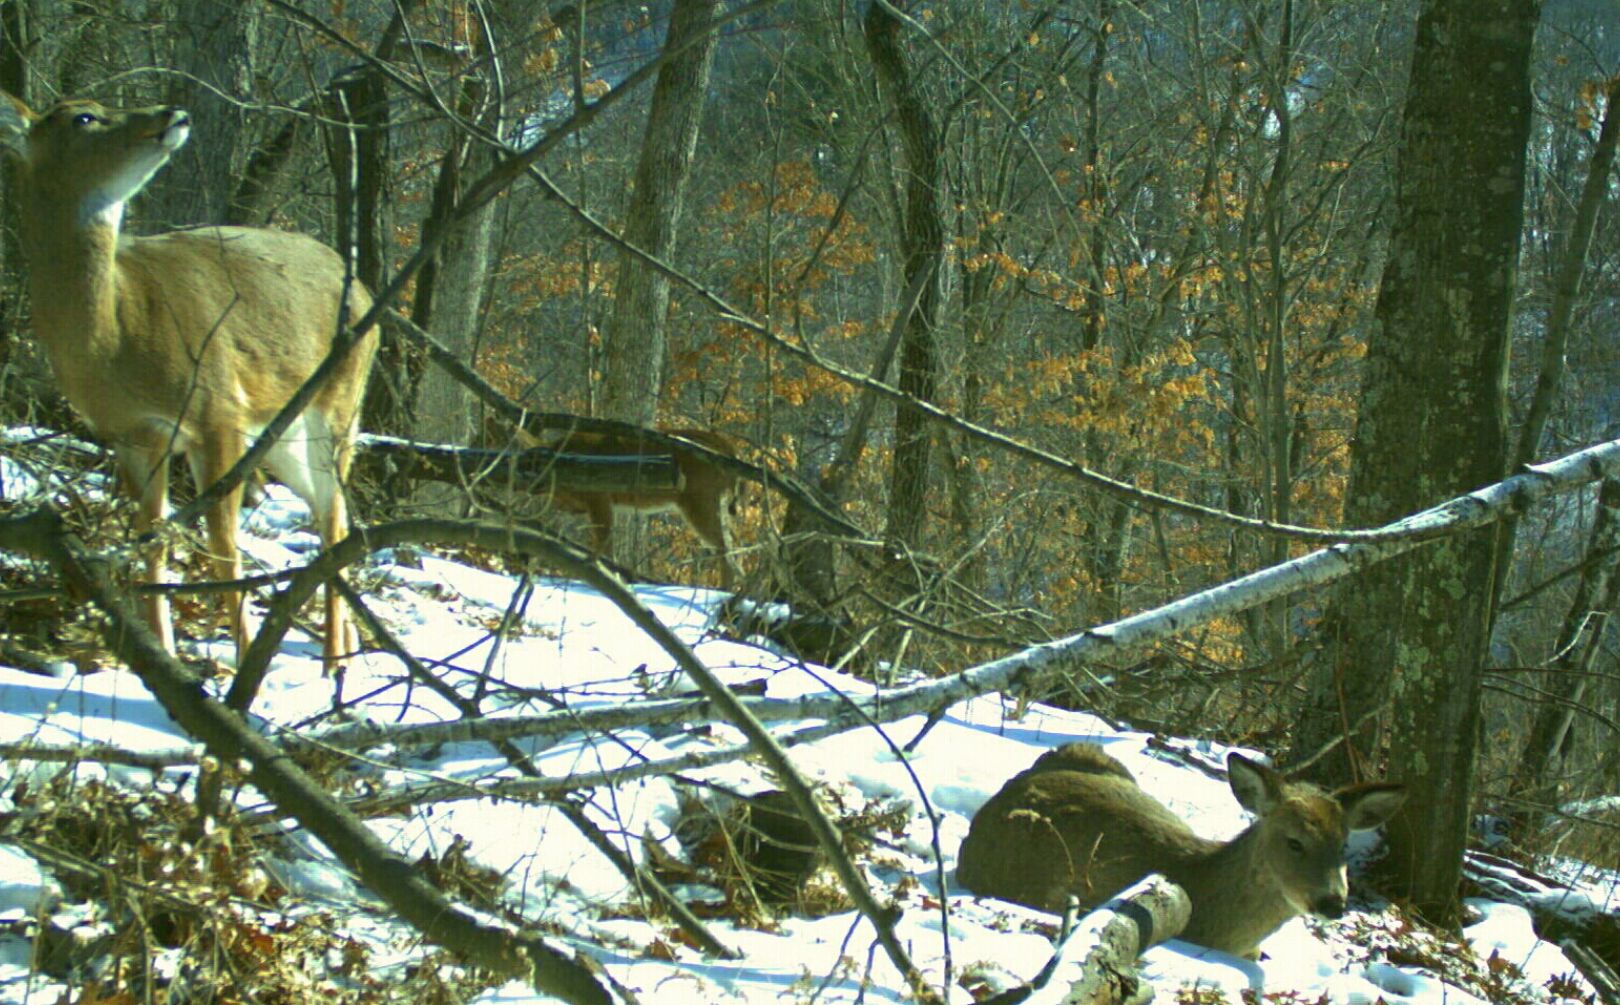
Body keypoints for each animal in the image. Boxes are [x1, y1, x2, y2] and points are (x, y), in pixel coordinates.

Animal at [0, 94, 375, 671]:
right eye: (85, 117)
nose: (171, 112)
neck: (114, 338)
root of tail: (366, 290)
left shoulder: (216, 410)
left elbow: (222, 546)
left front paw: (244, 665)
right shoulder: (133, 437)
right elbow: (152, 541)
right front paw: (162, 650)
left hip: (338, 404)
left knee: (334, 519)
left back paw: (334, 660)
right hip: (284, 432)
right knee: (331, 513)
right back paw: (349, 648)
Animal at [492, 421, 745, 593]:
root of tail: (727, 446)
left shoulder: (600, 498)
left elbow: (604, 545)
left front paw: (605, 578)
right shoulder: (576, 508)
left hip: (698, 500)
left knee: (725, 546)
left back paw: (726, 590)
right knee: (734, 540)